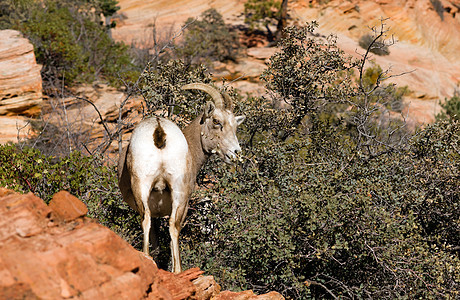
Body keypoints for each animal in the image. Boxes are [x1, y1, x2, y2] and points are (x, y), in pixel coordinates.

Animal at [117, 83, 244, 274]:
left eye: (235, 126)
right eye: (216, 121)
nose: (235, 153)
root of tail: (159, 129)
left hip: (146, 186)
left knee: (151, 221)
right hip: (177, 192)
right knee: (171, 225)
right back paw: (176, 270)